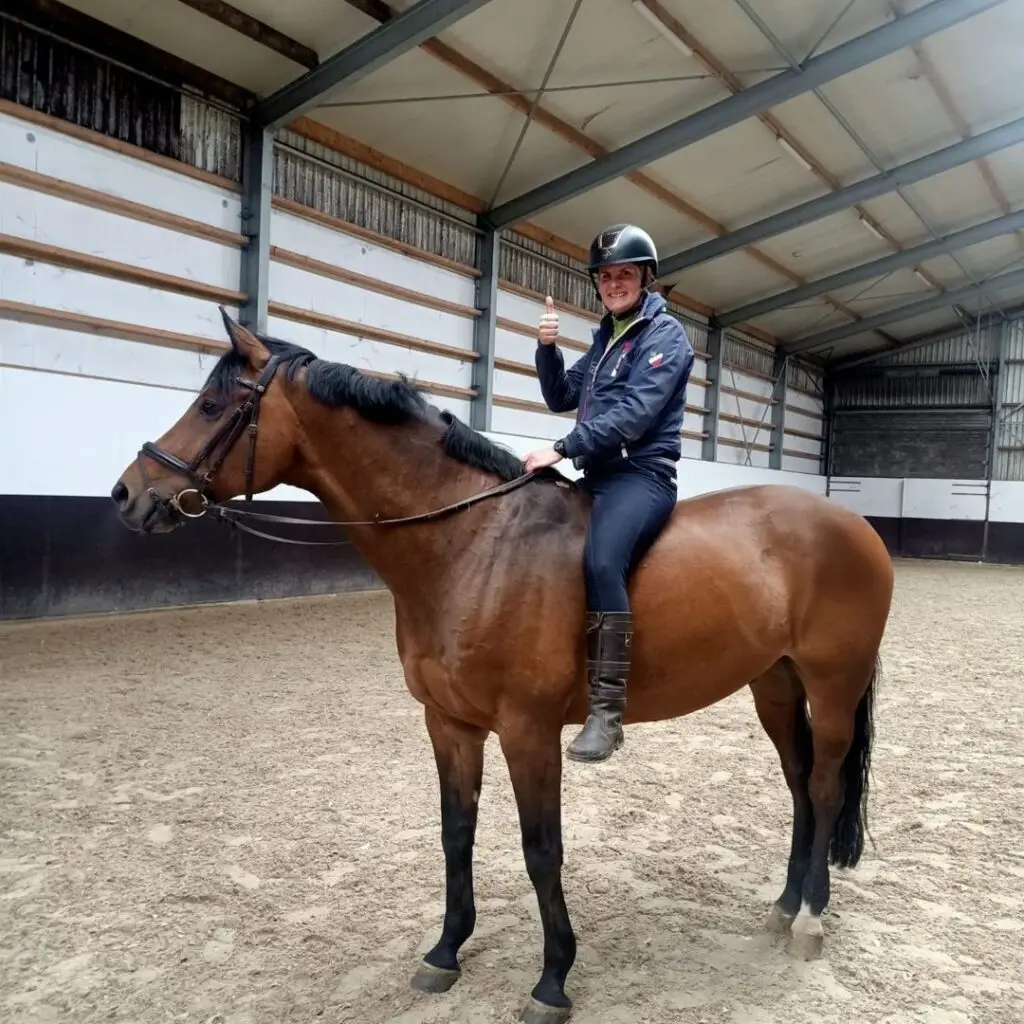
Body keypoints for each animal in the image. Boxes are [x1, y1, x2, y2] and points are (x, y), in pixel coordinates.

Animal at [110, 310, 894, 1024]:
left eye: (212, 406)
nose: (126, 495)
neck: (471, 543)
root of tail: (854, 525)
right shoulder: (449, 723)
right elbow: (456, 833)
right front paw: (445, 953)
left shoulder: (529, 731)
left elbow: (541, 849)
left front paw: (553, 981)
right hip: (775, 683)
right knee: (798, 786)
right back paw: (785, 907)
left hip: (832, 685)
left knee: (825, 787)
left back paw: (810, 922)